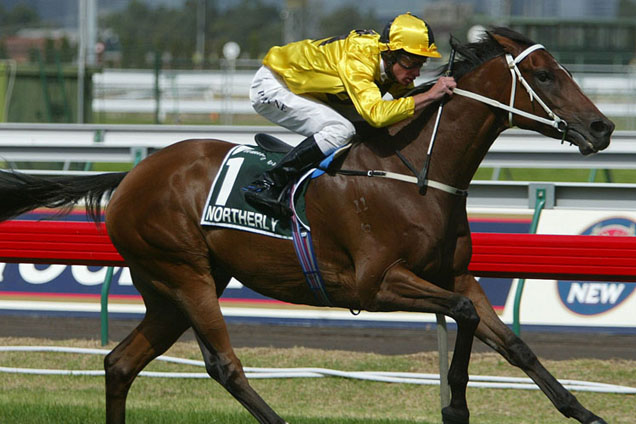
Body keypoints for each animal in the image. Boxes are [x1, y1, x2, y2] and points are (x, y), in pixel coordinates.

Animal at [0, 28, 612, 422]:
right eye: (543, 75)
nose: (603, 128)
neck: (416, 170)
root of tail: (132, 175)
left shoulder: (454, 274)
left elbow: (512, 343)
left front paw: (582, 412)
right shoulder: (375, 284)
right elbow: (461, 315)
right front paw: (457, 404)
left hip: (169, 289)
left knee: (119, 364)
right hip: (184, 274)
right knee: (224, 366)